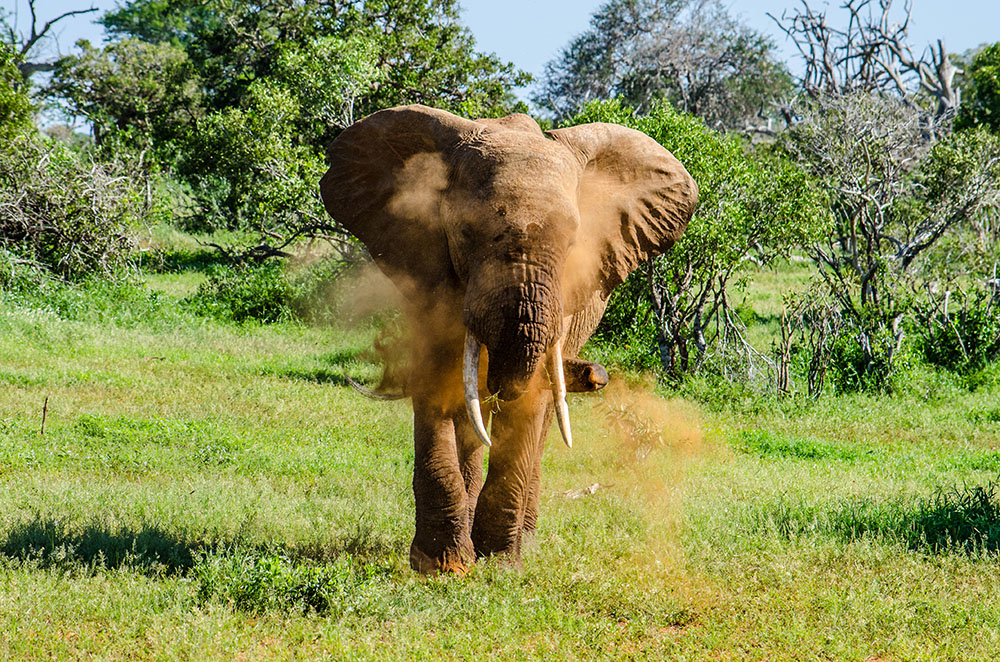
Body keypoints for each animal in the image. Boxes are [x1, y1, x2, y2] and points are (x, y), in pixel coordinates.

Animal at [320, 105, 696, 576]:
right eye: (463, 232)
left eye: (573, 243)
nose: (598, 375)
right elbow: (435, 382)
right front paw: (442, 567)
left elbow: (529, 403)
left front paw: (499, 563)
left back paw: (525, 541)